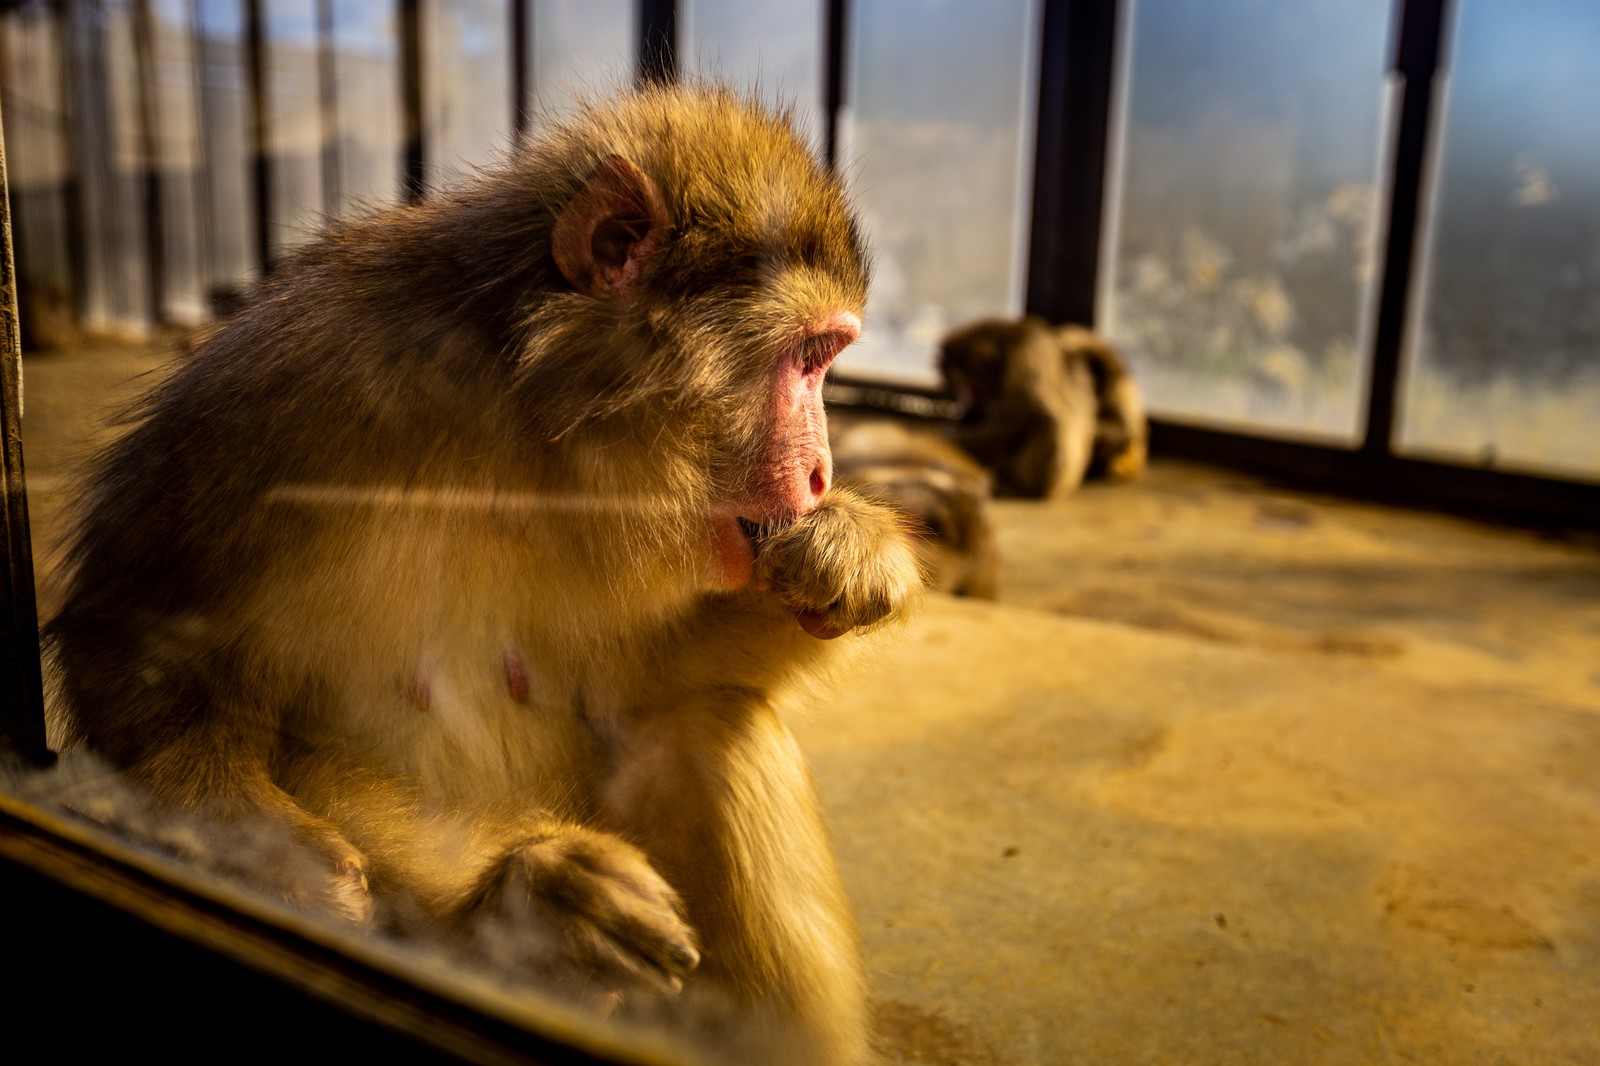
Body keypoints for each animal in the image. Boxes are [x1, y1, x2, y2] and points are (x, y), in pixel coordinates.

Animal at [40, 83, 928, 1062]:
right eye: (805, 358)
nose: (821, 477)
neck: (521, 418)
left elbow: (637, 685)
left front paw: (853, 553)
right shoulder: (289, 387)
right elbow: (128, 635)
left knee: (709, 727)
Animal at [934, 312, 1152, 492]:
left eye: (964, 383)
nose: (967, 397)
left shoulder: (1024, 359)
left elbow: (1016, 422)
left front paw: (948, 441)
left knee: (1049, 421)